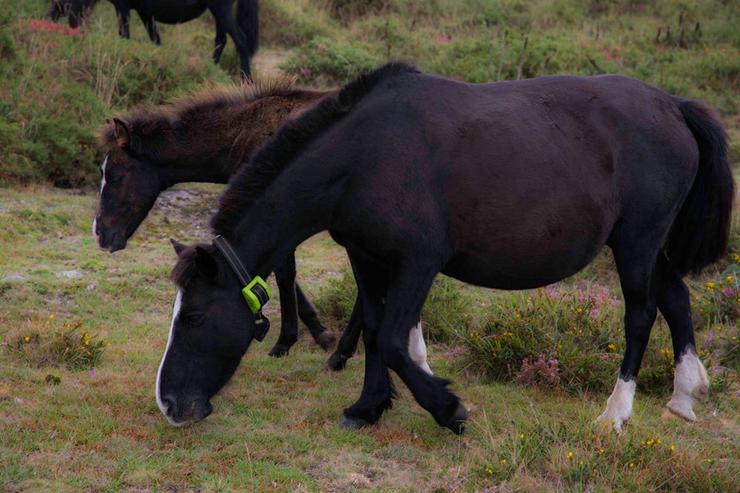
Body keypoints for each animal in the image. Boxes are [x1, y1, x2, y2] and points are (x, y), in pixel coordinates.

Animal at [156, 63, 736, 432]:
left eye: (196, 317)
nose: (169, 404)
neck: (364, 155)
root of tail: (672, 105)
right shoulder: (367, 257)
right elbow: (374, 329)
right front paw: (368, 407)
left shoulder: (418, 262)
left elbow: (394, 340)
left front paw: (448, 409)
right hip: (651, 247)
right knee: (676, 298)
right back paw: (683, 398)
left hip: (636, 242)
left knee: (641, 314)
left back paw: (616, 414)